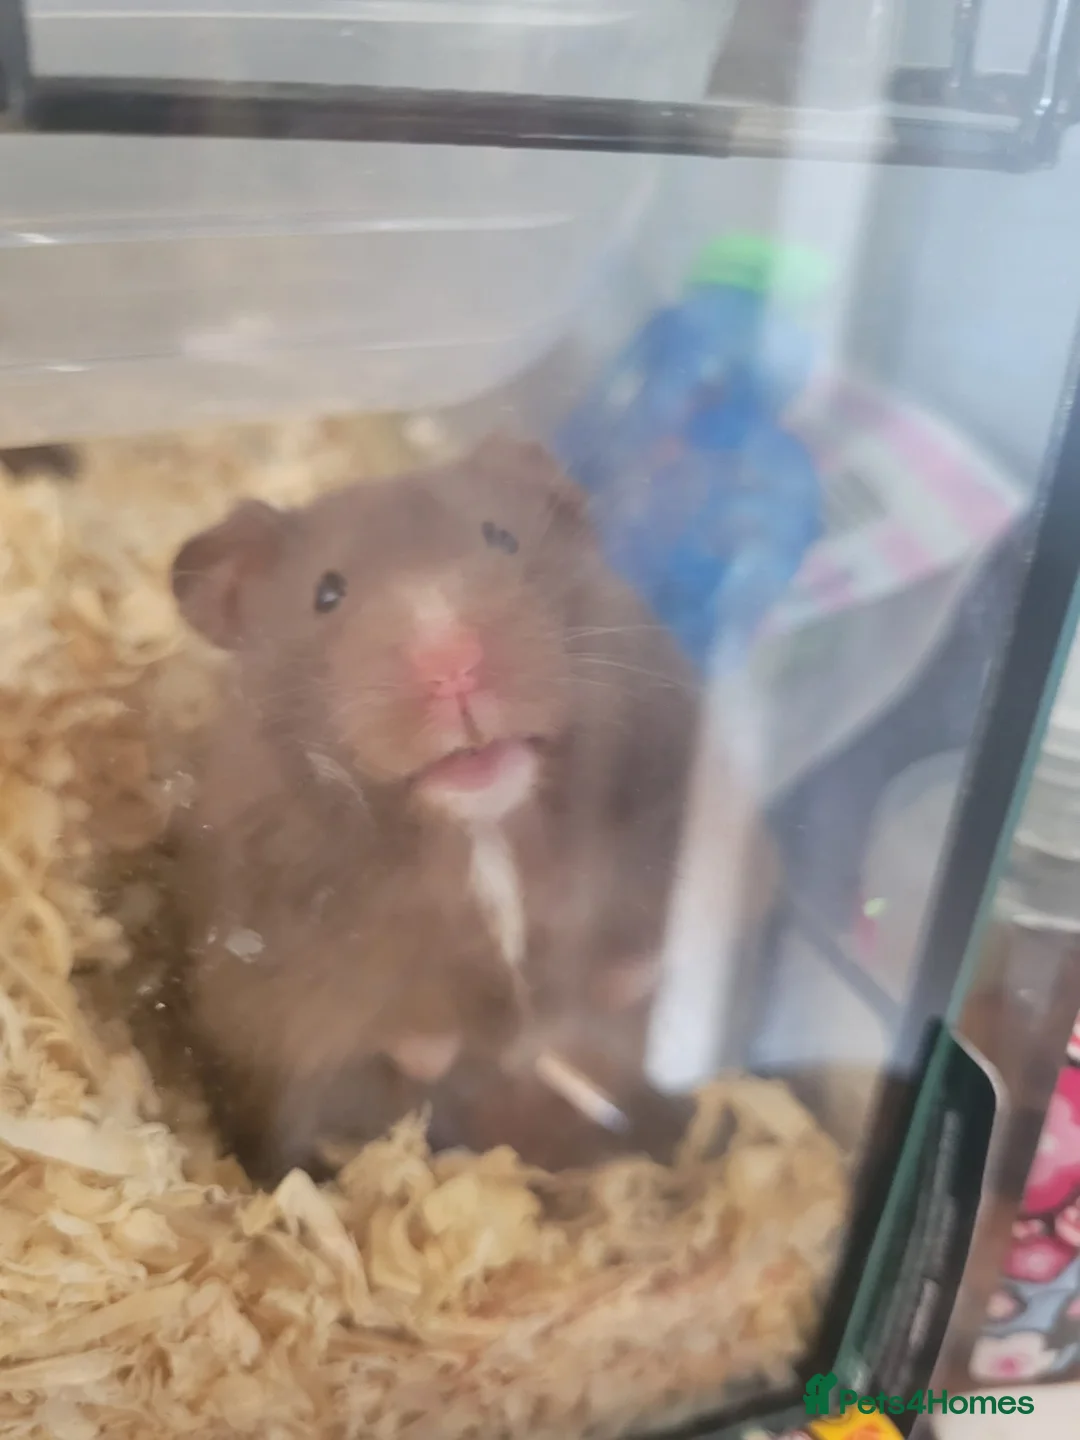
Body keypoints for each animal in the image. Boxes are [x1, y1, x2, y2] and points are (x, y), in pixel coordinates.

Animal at [169, 435, 775, 1184]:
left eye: (502, 538)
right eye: (327, 594)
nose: (452, 663)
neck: (486, 825)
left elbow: (654, 942)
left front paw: (604, 996)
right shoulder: (276, 971)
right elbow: (379, 1020)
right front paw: (448, 1046)